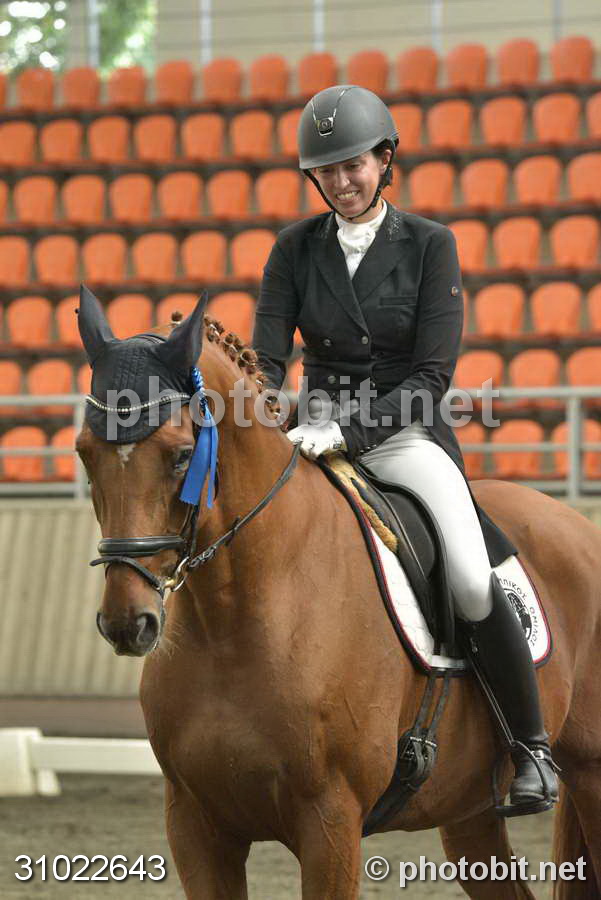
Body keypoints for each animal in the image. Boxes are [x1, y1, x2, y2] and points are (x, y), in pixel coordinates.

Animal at [76, 292, 601, 899]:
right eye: (85, 453)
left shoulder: (331, 823)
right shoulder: (195, 825)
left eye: (182, 455)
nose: (126, 621)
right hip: (468, 813)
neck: (235, 618)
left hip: (590, 774)